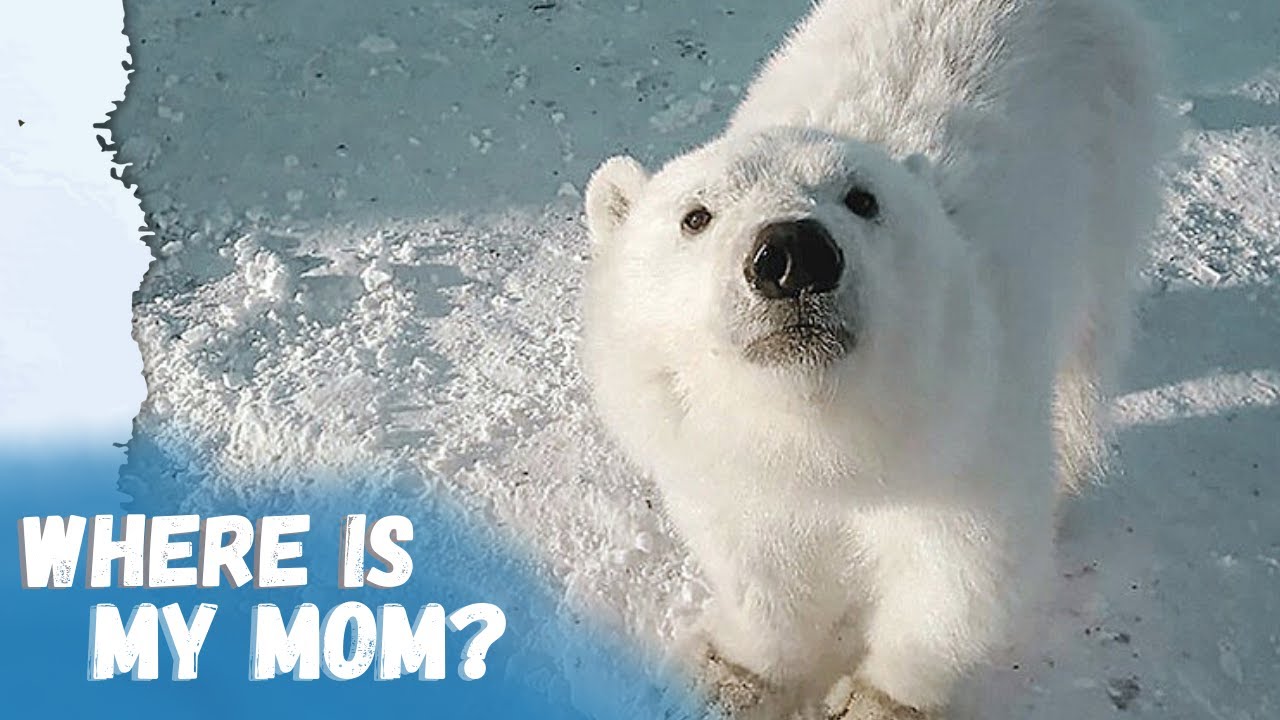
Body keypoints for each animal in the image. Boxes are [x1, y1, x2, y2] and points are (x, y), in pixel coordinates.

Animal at [581, 1, 1168, 718]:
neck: (828, 435)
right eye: (696, 215)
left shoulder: (965, 435)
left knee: (1087, 348)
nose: (793, 255)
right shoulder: (724, 459)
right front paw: (734, 675)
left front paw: (876, 698)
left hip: (1109, 166)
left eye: (863, 198)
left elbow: (960, 572)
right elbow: (758, 564)